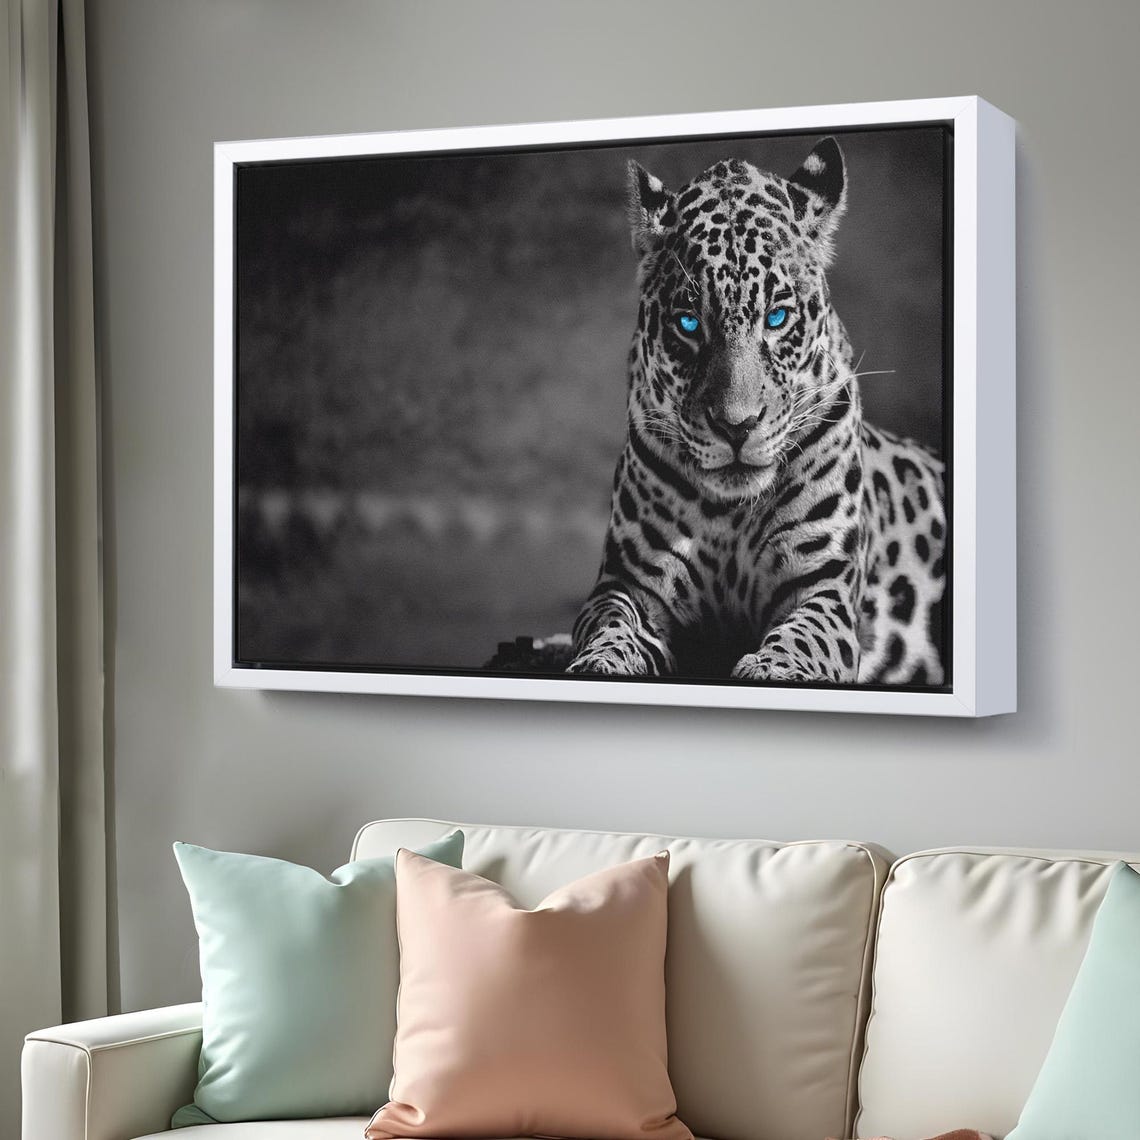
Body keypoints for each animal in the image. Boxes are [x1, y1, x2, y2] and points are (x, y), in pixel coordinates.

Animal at [566, 138, 946, 686]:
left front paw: (771, 668)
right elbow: (610, 624)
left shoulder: (823, 588)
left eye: (777, 317)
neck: (731, 516)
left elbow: (803, 637)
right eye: (688, 322)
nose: (736, 426)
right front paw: (601, 661)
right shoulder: (628, 583)